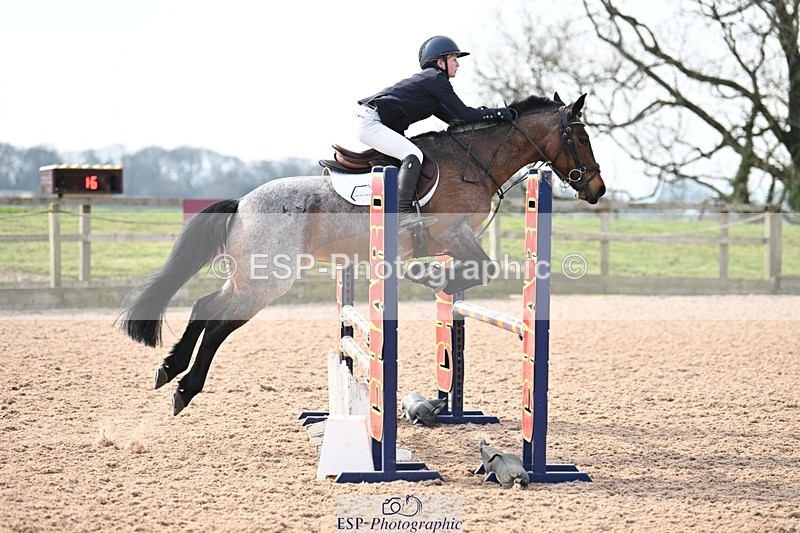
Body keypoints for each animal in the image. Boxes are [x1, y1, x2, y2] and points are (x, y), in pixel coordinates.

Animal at [120, 92, 605, 415]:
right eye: (580, 138)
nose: (597, 189)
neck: (477, 162)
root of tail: (241, 204)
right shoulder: (452, 232)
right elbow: (483, 270)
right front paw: (435, 281)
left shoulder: (453, 240)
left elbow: (474, 275)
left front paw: (440, 285)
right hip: (267, 281)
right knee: (221, 322)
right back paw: (185, 389)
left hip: (249, 277)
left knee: (205, 305)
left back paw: (169, 370)